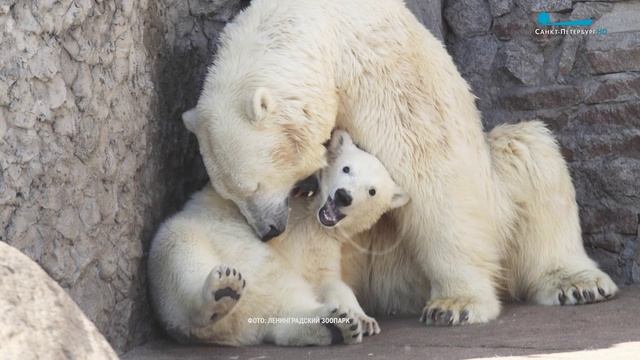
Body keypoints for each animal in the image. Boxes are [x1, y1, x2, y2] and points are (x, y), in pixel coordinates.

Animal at [184, 0, 616, 324]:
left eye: (252, 185)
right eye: (230, 194)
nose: (268, 231)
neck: (317, 29)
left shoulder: (382, 79)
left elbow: (432, 173)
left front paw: (454, 306)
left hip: (496, 205)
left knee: (531, 151)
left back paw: (578, 283)